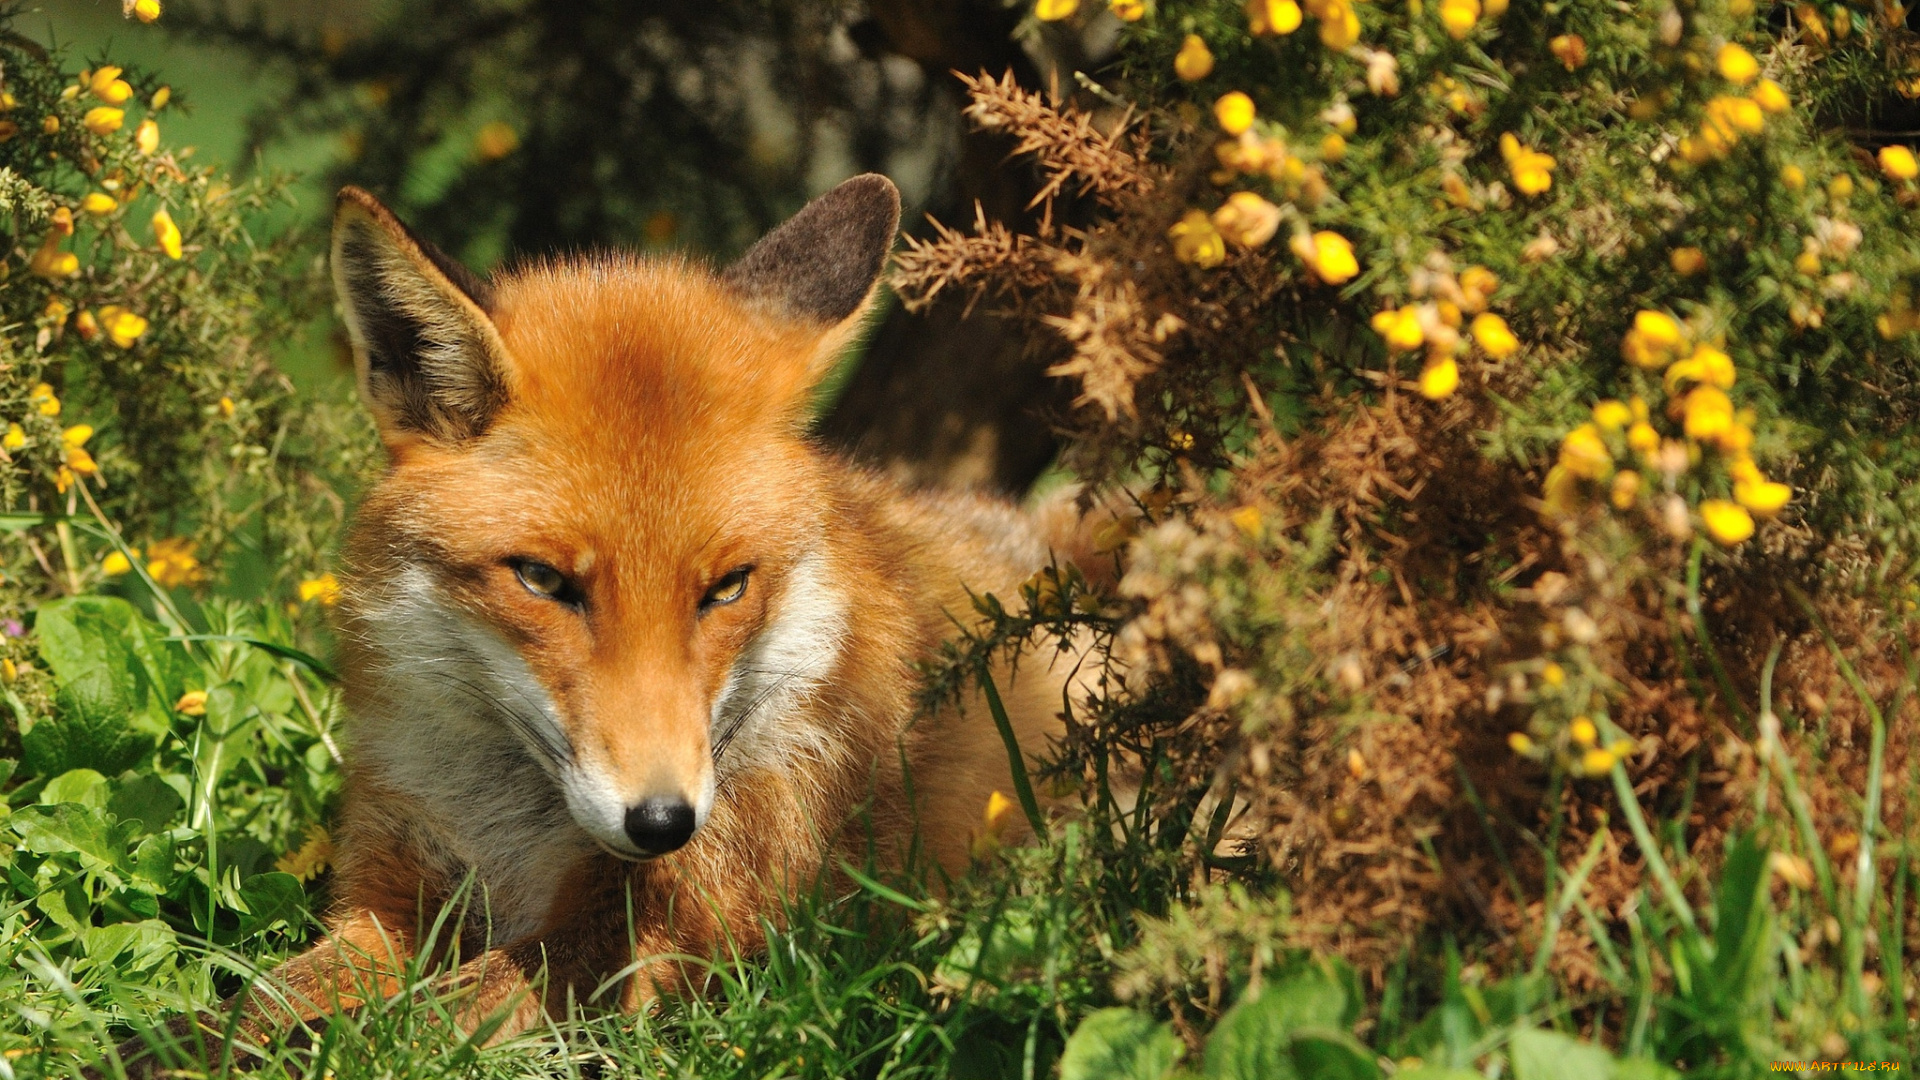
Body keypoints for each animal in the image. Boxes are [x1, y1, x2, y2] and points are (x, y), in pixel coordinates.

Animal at [108, 171, 1113, 1060]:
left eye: (727, 588)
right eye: (545, 581)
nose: (662, 822)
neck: (509, 830)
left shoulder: (657, 943)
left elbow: (382, 1029)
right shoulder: (386, 897)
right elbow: (257, 1007)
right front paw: (152, 1047)